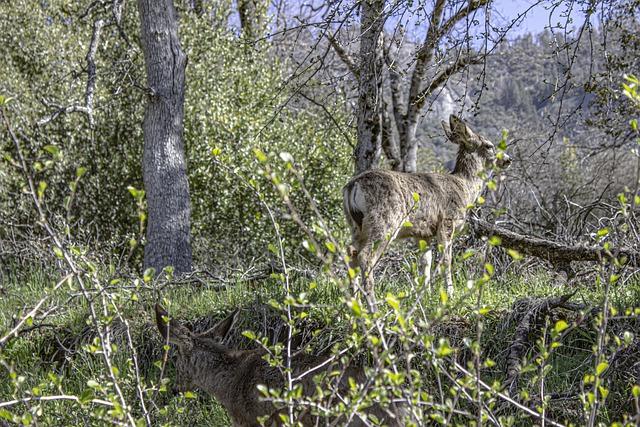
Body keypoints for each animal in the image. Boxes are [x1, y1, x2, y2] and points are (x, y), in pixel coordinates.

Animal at [342, 114, 512, 300]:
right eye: (489, 146)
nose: (508, 159)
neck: (465, 187)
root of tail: (353, 186)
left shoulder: (422, 233)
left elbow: (426, 263)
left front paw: (425, 294)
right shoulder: (447, 221)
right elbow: (446, 260)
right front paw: (450, 294)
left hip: (356, 225)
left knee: (351, 252)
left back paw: (353, 301)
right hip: (385, 219)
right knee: (365, 256)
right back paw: (371, 302)